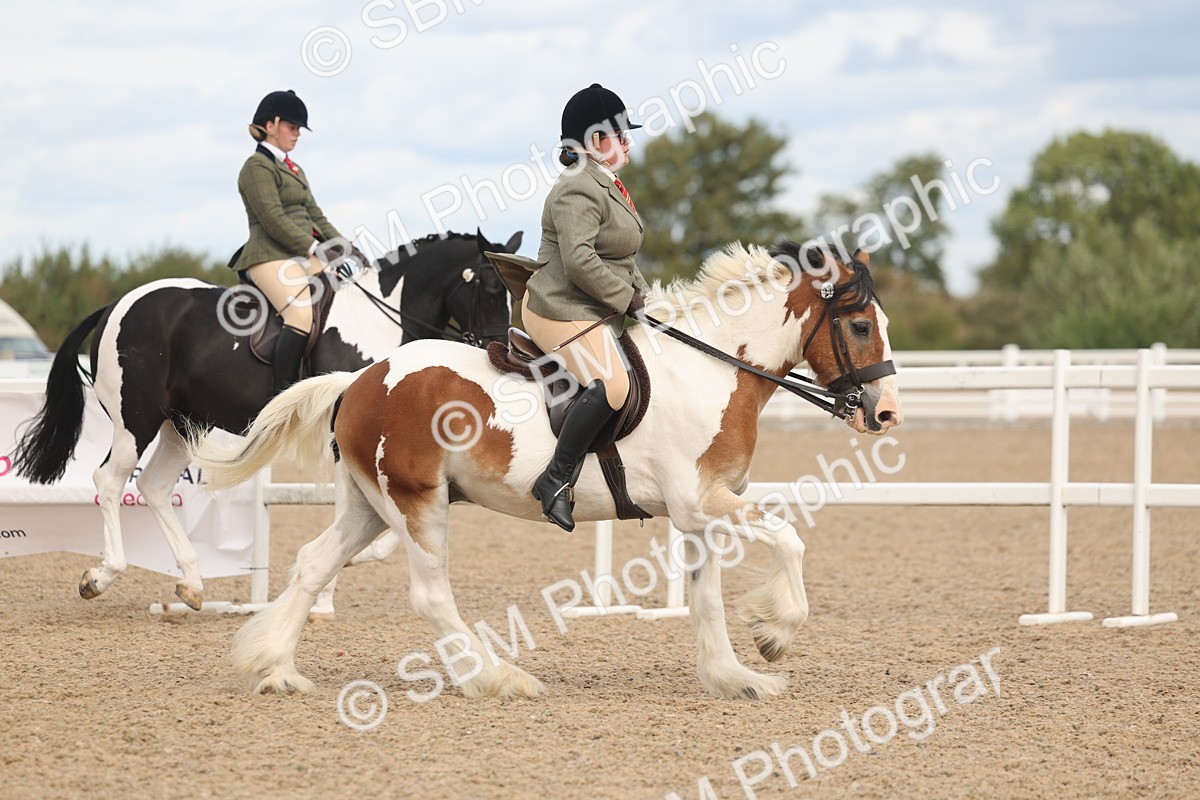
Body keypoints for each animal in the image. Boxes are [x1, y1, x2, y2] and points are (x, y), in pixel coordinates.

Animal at [13, 229, 521, 611]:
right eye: (490, 289)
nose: (500, 353)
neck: (380, 323)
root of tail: (117, 304)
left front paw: (346, 564)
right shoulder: (351, 442)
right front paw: (331, 585)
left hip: (180, 424)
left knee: (153, 487)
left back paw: (191, 584)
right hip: (135, 420)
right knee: (110, 480)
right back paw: (101, 576)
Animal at [190, 240, 902, 700]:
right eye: (860, 326)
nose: (886, 412)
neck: (711, 368)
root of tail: (361, 379)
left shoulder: (698, 512)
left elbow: (705, 597)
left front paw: (735, 677)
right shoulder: (700, 501)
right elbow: (789, 539)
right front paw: (775, 633)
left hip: (371, 505)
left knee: (314, 562)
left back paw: (275, 668)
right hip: (418, 501)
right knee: (429, 593)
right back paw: (496, 677)